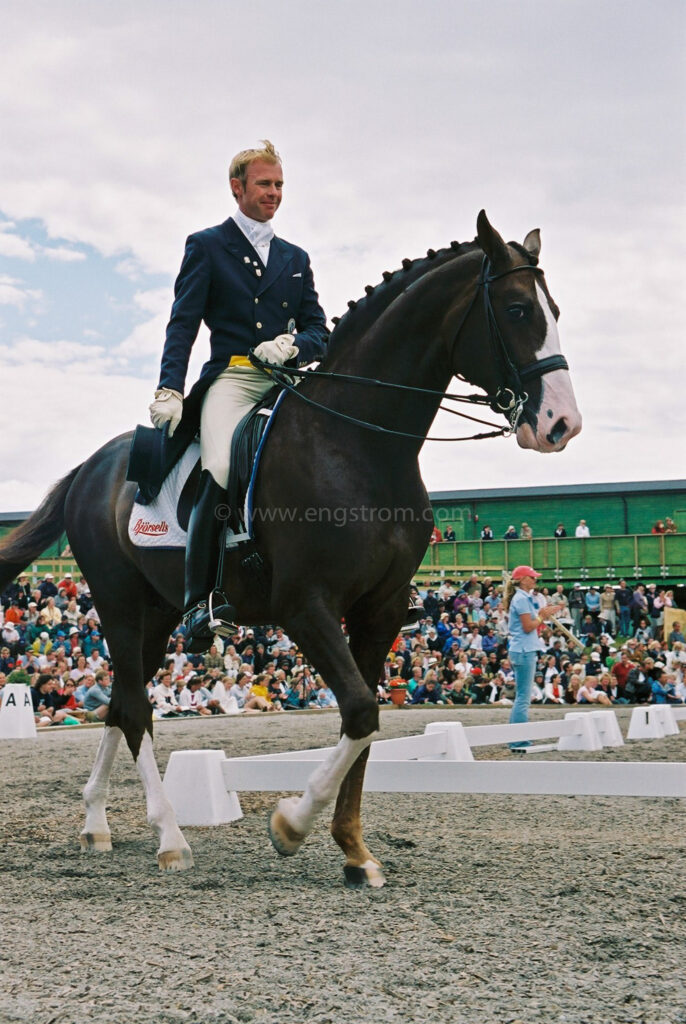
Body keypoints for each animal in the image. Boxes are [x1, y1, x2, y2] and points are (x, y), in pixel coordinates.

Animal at [0, 214, 581, 888]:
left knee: (122, 702)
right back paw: (170, 836)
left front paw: (354, 852)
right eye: (516, 310)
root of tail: (92, 466)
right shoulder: (307, 607)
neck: (358, 445)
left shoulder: (380, 610)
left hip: (159, 610)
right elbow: (359, 710)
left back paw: (97, 823)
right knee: (138, 709)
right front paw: (291, 826)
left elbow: (366, 720)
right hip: (118, 602)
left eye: (555, 310)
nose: (561, 424)